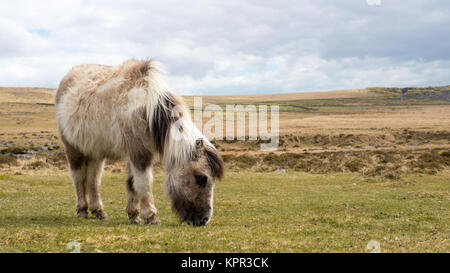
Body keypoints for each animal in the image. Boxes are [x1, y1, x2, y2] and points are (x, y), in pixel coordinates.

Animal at [55, 59, 224, 225]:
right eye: (201, 178)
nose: (204, 220)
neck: (148, 109)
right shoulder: (139, 153)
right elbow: (144, 182)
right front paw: (151, 216)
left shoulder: (133, 153)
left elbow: (132, 183)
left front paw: (134, 216)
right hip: (73, 149)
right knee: (78, 178)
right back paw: (82, 210)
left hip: (95, 151)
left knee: (93, 179)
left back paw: (98, 211)